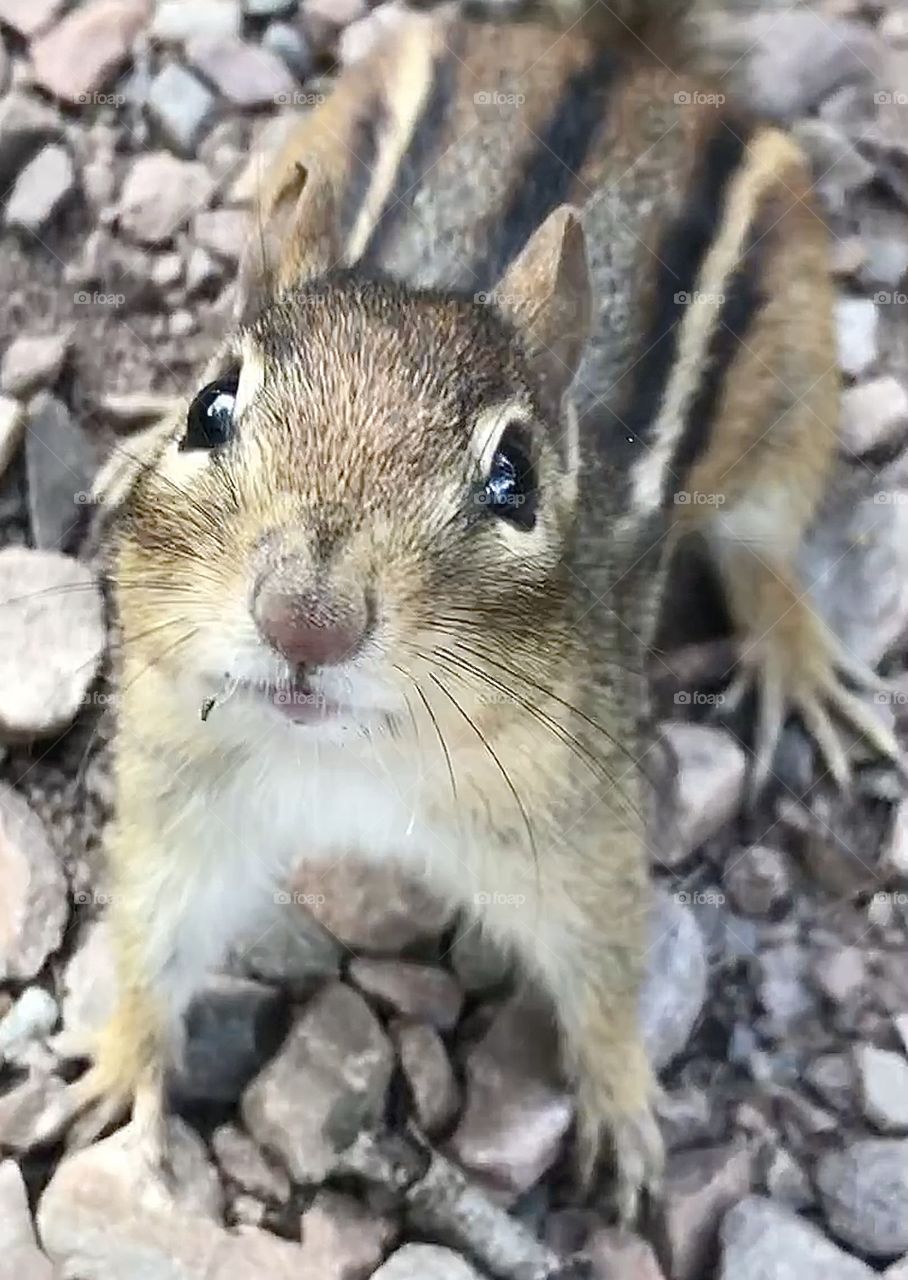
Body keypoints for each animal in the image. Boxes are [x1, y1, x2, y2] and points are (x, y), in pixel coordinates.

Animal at [75, 0, 898, 1222]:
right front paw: (112, 1064)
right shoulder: (186, 791)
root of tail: (606, 51)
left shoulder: (579, 823)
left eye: (514, 476)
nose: (305, 619)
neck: (350, 765)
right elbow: (154, 929)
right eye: (211, 408)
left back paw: (800, 665)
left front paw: (624, 1114)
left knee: (763, 553)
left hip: (793, 389)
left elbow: (608, 964)